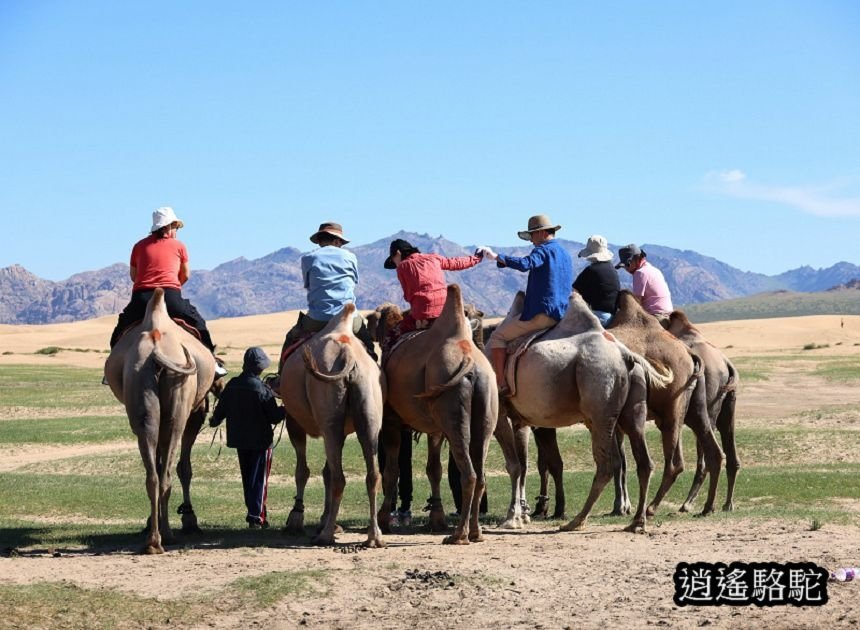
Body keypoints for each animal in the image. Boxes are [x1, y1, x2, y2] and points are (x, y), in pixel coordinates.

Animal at [103, 288, 215, 556]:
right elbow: (185, 467)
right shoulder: (196, 415)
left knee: (153, 472)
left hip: (140, 390)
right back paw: (166, 535)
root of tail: (155, 349)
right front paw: (190, 519)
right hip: (180, 404)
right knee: (167, 471)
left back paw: (154, 539)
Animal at [278, 304, 382, 548]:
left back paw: (325, 535)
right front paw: (326, 519)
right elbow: (325, 471)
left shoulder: (293, 421)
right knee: (372, 474)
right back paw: (374, 536)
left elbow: (302, 471)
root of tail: (348, 354)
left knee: (338, 477)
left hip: (328, 416)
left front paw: (295, 519)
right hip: (369, 412)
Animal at [374, 286, 498, 544]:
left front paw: (384, 519)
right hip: (484, 409)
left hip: (452, 409)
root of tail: (470, 363)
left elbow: (391, 470)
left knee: (469, 474)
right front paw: (437, 518)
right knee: (480, 472)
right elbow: (434, 469)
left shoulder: (391, 421)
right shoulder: (436, 429)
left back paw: (459, 535)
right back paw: (475, 532)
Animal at [490, 292, 672, 532]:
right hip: (632, 410)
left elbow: (514, 465)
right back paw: (636, 522)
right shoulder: (522, 420)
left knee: (606, 465)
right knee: (643, 461)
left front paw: (512, 518)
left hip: (599, 404)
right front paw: (523, 514)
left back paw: (577, 520)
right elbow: (523, 463)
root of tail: (624, 354)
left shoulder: (500, 413)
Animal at [668, 312, 744, 512]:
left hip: (706, 408)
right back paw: (727, 504)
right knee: (730, 452)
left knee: (707, 456)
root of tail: (726, 363)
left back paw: (691, 504)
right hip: (728, 405)